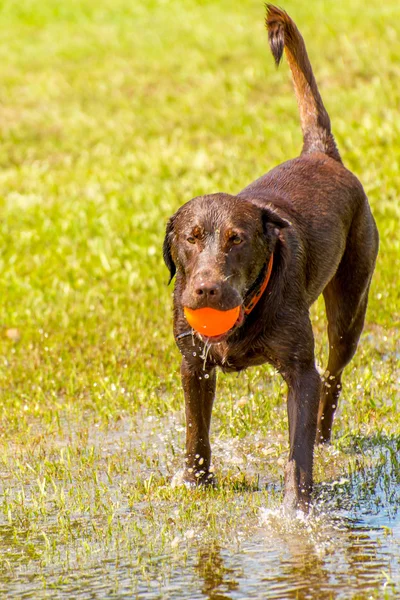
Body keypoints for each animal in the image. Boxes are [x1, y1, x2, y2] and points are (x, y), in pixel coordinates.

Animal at [162, 4, 378, 510]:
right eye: (191, 237)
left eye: (236, 239)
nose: (207, 289)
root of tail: (321, 153)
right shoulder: (193, 364)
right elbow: (196, 432)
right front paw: (196, 483)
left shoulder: (299, 370)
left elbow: (298, 449)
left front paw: (297, 511)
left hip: (350, 308)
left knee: (333, 379)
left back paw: (323, 437)